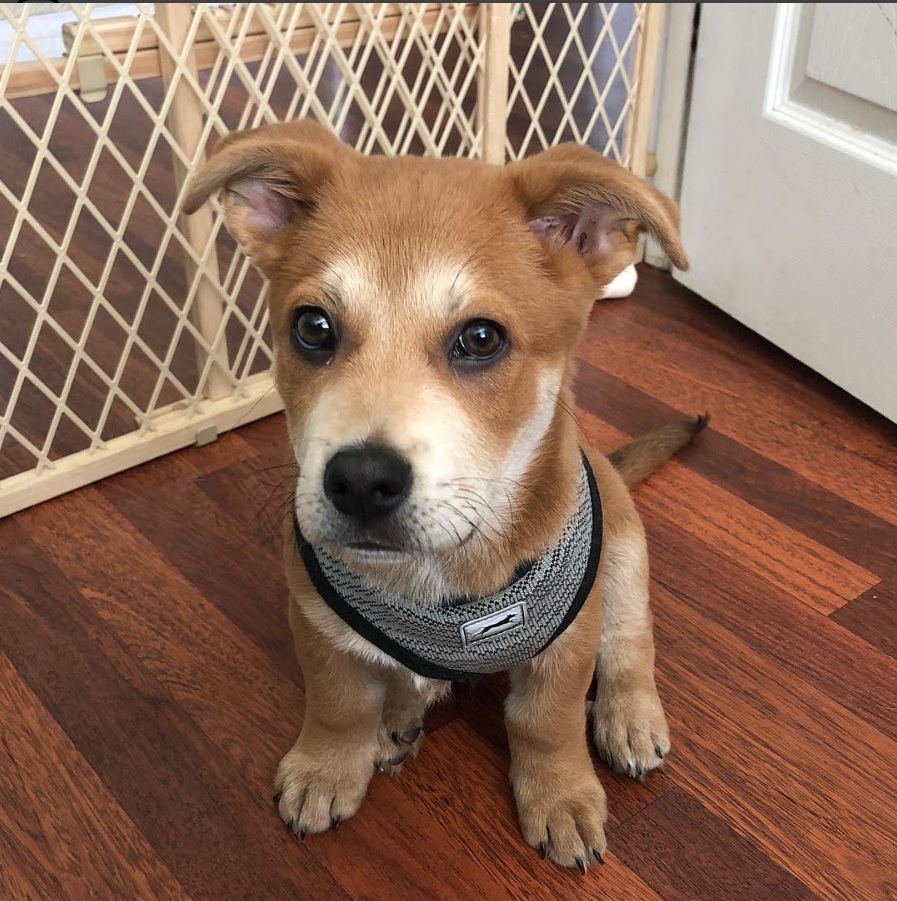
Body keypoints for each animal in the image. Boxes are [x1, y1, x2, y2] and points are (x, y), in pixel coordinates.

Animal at [186, 121, 704, 872]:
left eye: (481, 338)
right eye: (312, 327)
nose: (360, 481)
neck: (442, 571)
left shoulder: (568, 640)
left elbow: (545, 724)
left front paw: (561, 795)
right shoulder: (315, 620)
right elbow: (337, 704)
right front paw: (326, 766)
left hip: (625, 552)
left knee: (632, 637)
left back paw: (629, 715)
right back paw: (397, 718)